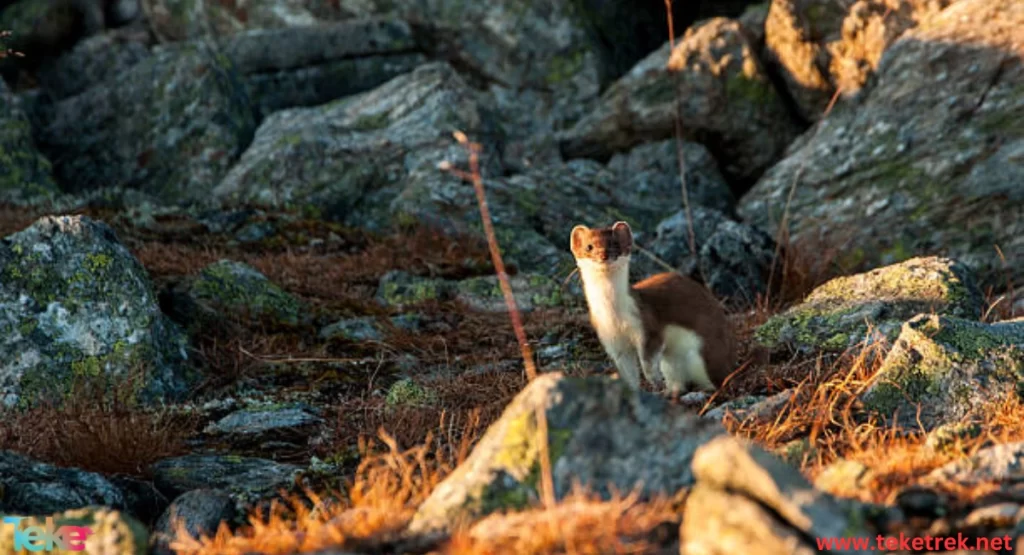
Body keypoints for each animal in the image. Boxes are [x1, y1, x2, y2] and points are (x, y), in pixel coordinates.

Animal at [569, 220, 737, 397]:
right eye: (589, 246)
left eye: (614, 243)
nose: (603, 255)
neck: (614, 316)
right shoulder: (611, 339)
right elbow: (627, 372)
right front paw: (632, 391)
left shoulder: (647, 326)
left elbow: (647, 363)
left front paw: (654, 381)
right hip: (671, 361)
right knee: (678, 381)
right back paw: (671, 392)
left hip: (703, 352)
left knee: (716, 380)